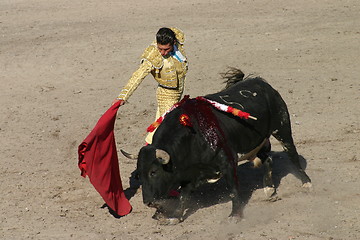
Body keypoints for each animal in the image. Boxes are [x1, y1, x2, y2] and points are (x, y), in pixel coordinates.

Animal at [126, 68, 310, 224]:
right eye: (138, 175)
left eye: (153, 172)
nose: (148, 202)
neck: (193, 135)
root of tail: (262, 83)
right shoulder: (190, 174)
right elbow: (184, 196)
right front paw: (175, 216)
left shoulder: (227, 162)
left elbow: (233, 190)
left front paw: (235, 215)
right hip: (257, 142)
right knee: (268, 159)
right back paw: (270, 190)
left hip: (282, 127)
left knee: (292, 154)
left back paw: (306, 183)